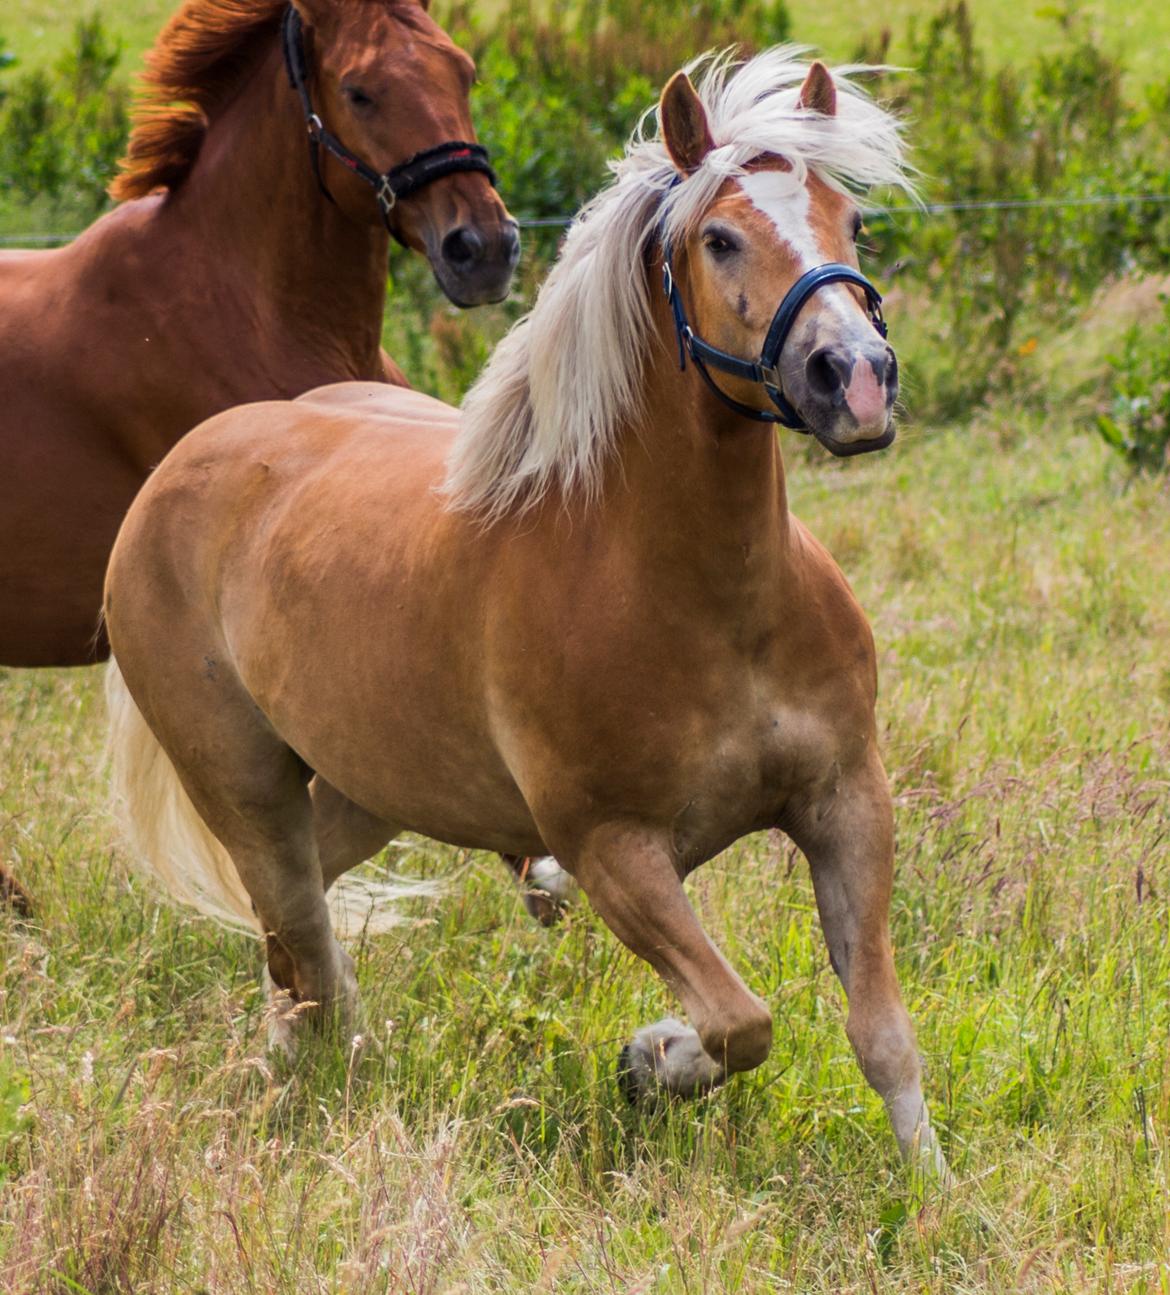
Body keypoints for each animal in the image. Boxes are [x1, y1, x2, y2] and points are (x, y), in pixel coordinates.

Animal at [107, 50, 953, 1170]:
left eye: (850, 221)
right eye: (721, 237)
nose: (854, 378)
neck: (715, 604)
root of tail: (181, 467)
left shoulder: (848, 802)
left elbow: (882, 1030)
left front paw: (936, 1186)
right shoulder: (616, 850)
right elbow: (740, 1018)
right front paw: (651, 1058)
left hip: (367, 789)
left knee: (303, 938)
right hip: (246, 791)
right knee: (299, 948)